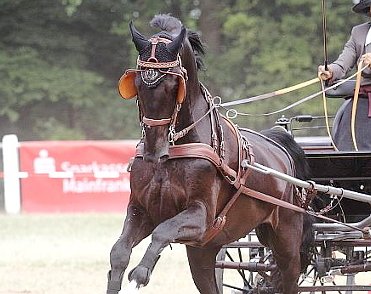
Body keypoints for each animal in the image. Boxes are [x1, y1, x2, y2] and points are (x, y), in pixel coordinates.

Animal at [108, 14, 314, 294]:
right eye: (137, 84)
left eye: (173, 85)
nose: (153, 150)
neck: (173, 153)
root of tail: (279, 147)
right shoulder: (141, 210)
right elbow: (119, 251)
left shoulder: (201, 217)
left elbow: (162, 231)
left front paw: (140, 273)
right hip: (204, 253)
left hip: (286, 239)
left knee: (289, 275)